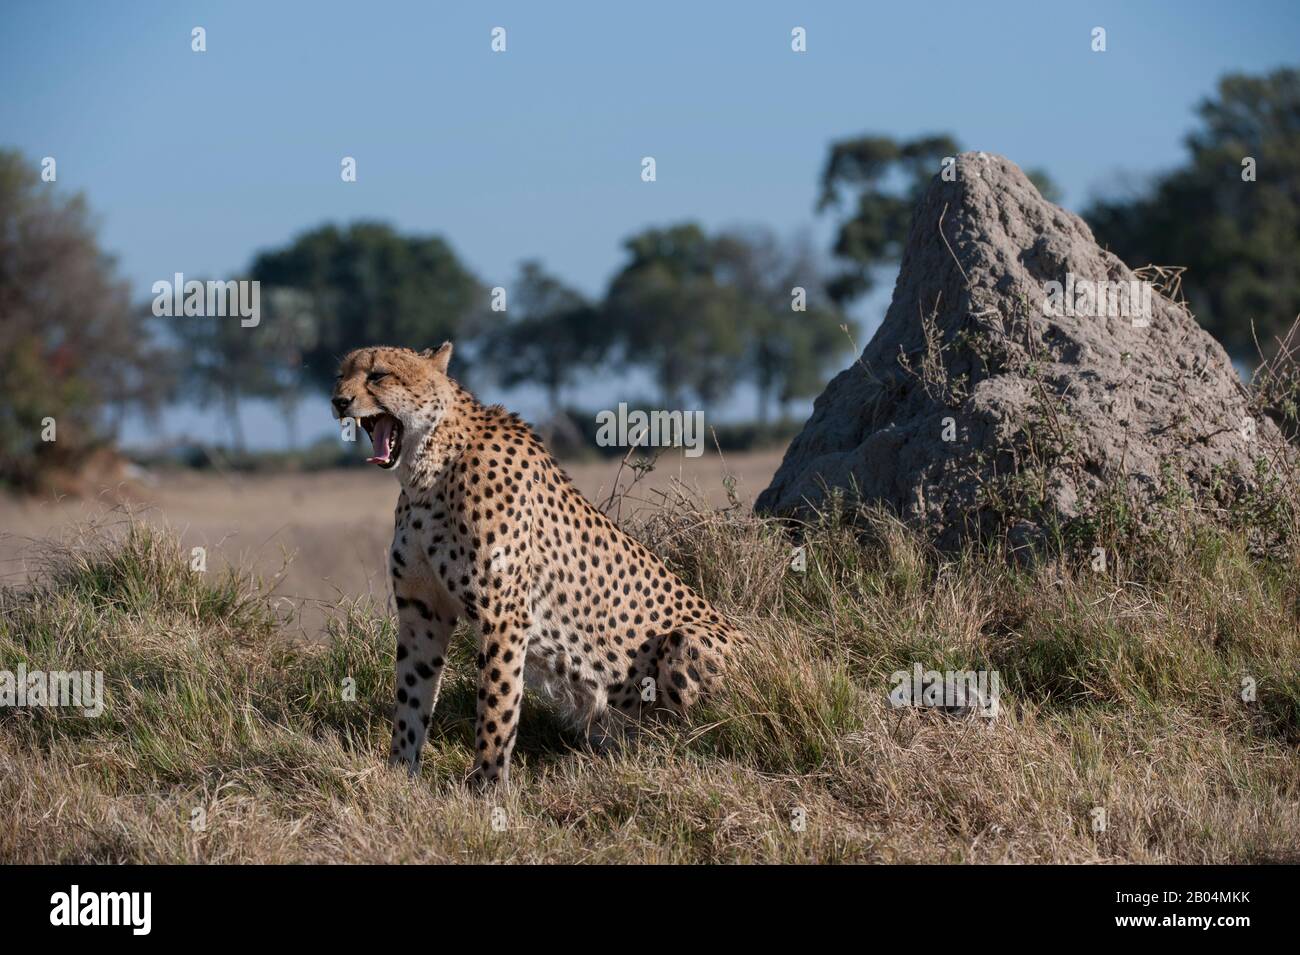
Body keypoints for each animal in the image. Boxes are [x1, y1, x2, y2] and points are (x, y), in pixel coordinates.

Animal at [331, 342, 744, 787]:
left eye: (379, 375)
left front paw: (488, 787)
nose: (338, 401)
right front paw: (399, 776)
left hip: (687, 640)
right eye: (341, 375)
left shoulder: (504, 613)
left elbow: (496, 703)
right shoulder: (423, 610)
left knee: (702, 731)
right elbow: (411, 695)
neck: (430, 468)